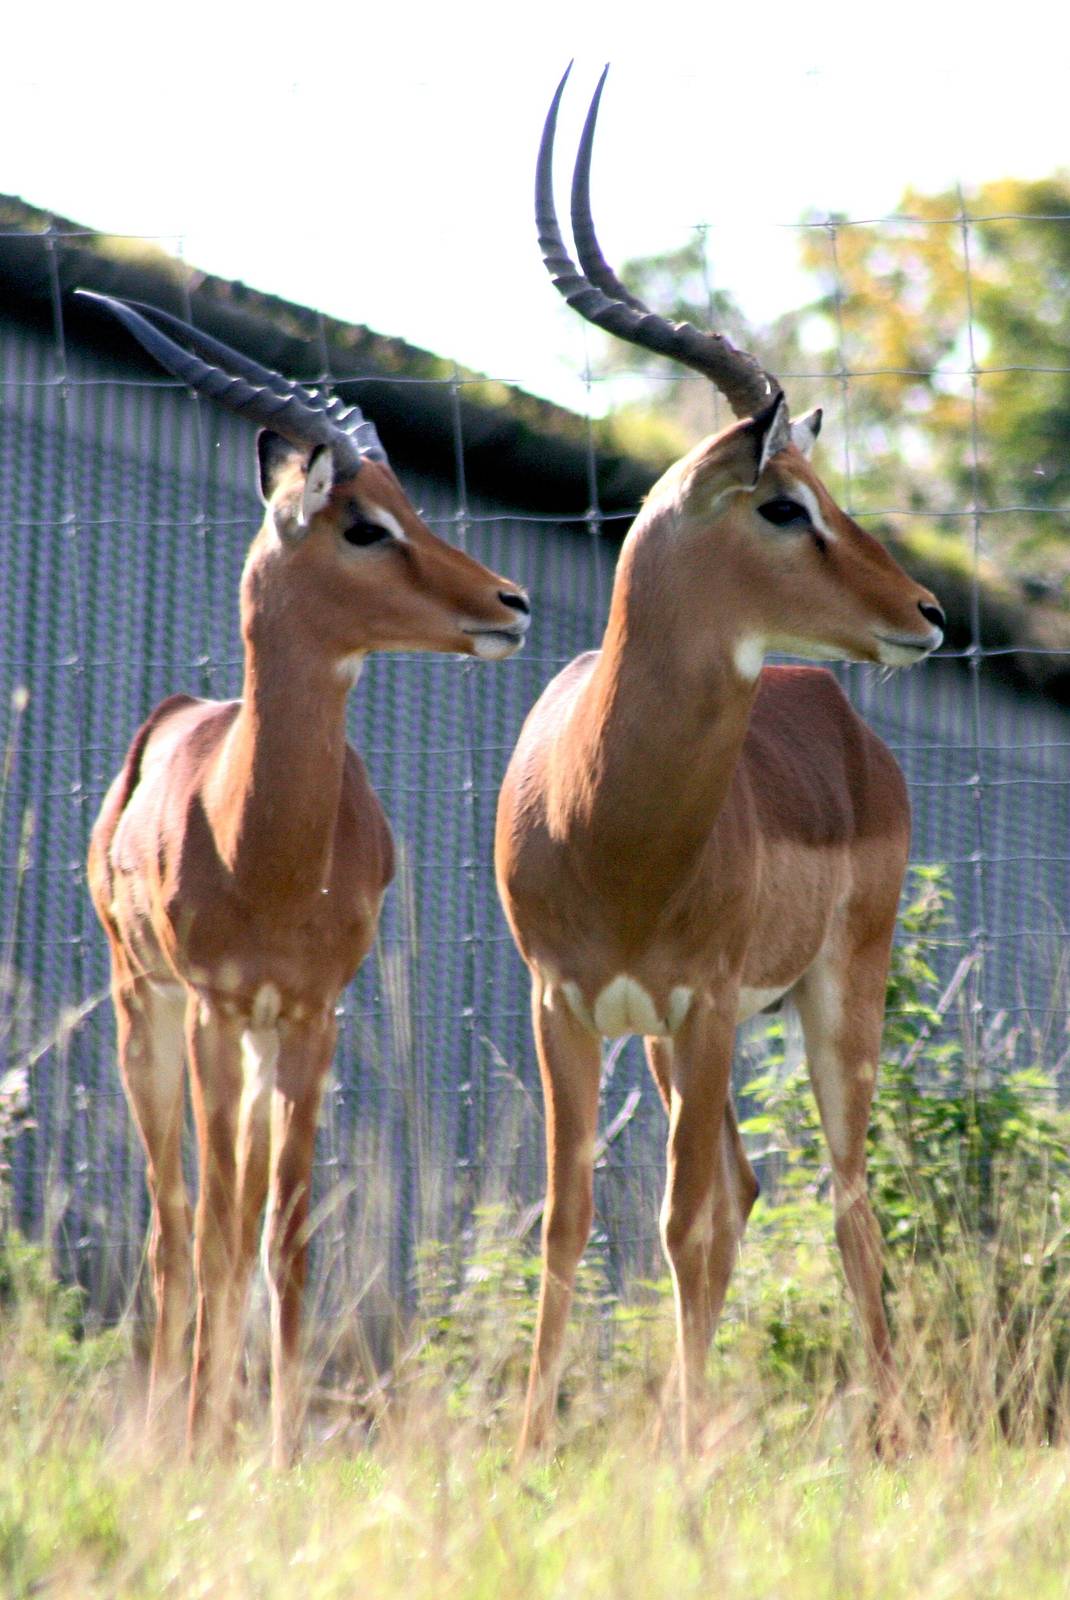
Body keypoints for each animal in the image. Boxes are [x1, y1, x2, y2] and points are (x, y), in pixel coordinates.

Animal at [81, 292, 530, 1466]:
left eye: (409, 503)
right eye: (361, 523)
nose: (508, 600)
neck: (264, 848)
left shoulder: (314, 1014)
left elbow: (285, 1238)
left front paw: (274, 1448)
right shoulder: (213, 1008)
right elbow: (219, 1233)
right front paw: (203, 1441)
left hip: (255, 1040)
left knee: (230, 1217)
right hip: (148, 1012)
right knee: (175, 1224)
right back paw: (167, 1424)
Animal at [495, 68, 946, 1455]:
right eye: (780, 502)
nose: (925, 611)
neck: (606, 817)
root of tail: (835, 712)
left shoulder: (697, 1002)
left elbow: (679, 1228)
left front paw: (683, 1465)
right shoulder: (565, 1004)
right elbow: (570, 1221)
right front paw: (526, 1454)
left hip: (827, 1000)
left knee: (842, 1195)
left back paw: (887, 1436)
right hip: (673, 1036)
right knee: (749, 1189)